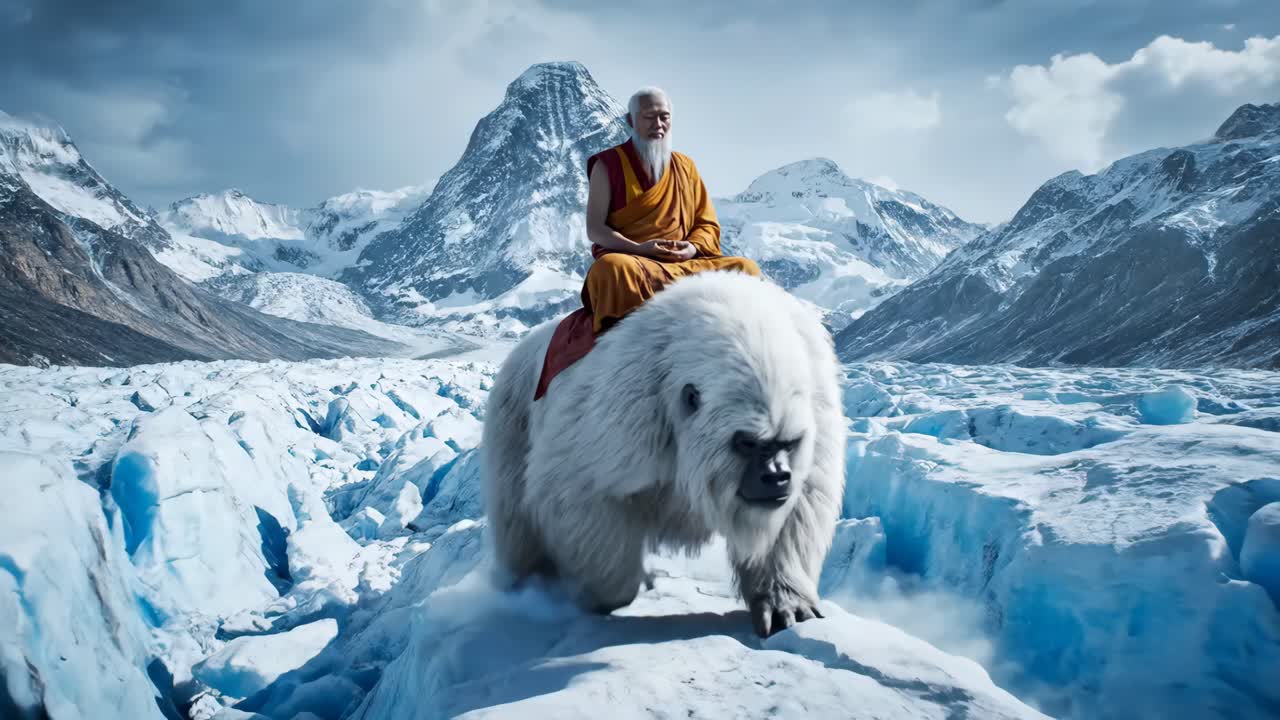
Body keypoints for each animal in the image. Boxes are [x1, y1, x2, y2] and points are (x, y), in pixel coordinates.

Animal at [480, 270, 846, 637]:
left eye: (790, 442)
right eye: (746, 442)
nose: (776, 477)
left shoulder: (818, 406)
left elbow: (800, 508)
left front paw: (787, 605)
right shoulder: (628, 409)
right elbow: (573, 485)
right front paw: (599, 591)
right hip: (512, 420)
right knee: (517, 520)